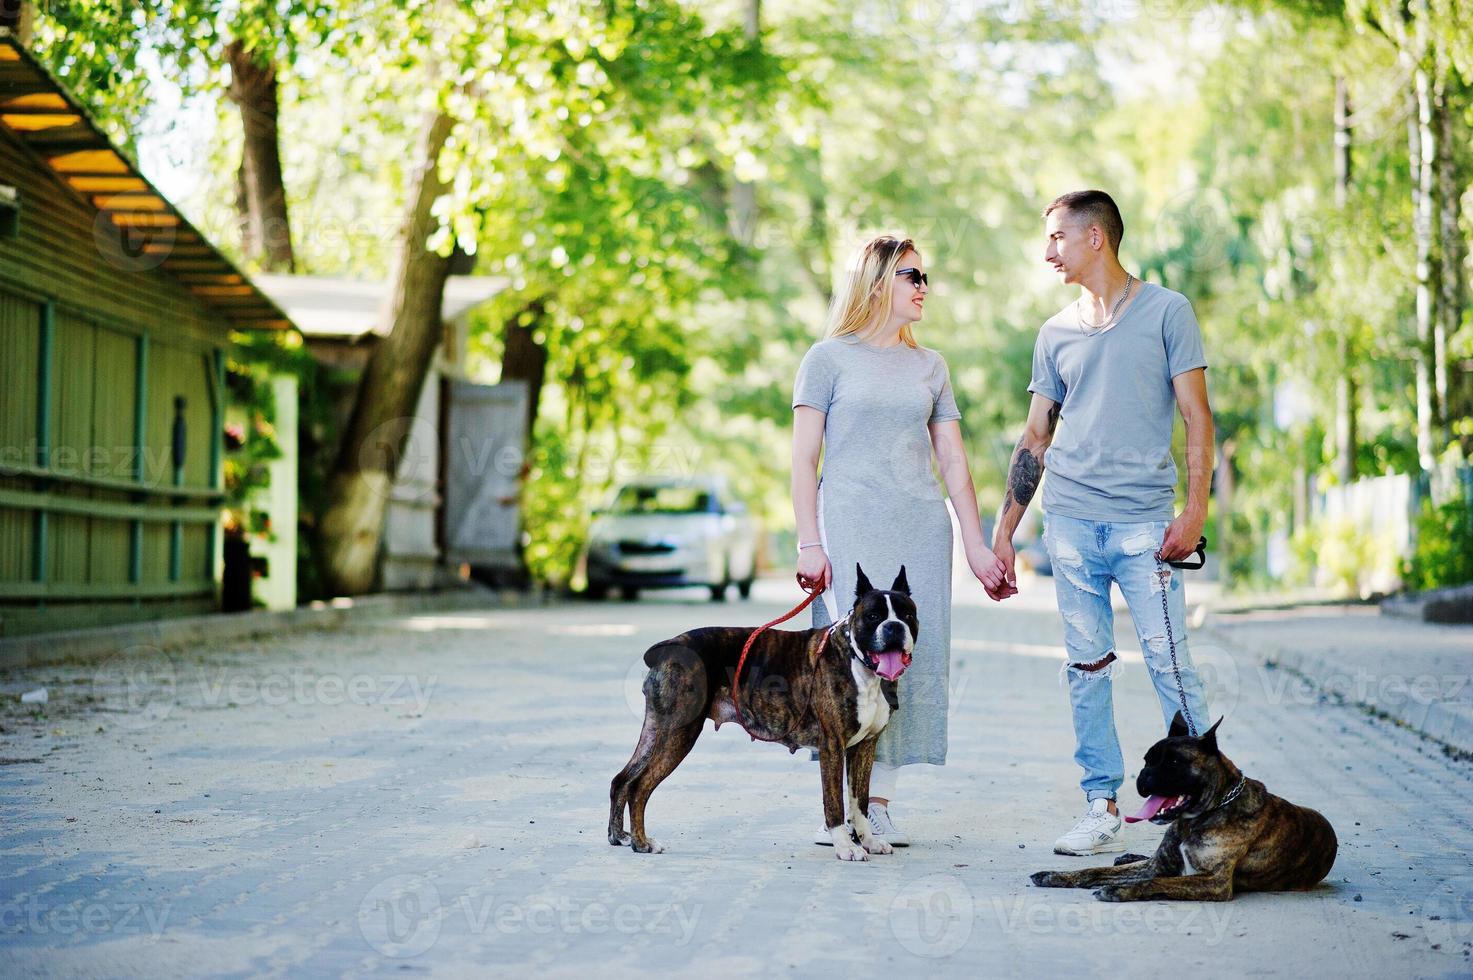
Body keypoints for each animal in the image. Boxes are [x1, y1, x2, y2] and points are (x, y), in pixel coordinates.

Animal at [603, 562, 913, 860]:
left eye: (908, 615)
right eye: (873, 616)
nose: (894, 627)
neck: (857, 661)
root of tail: (671, 646)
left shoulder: (865, 746)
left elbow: (860, 801)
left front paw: (869, 841)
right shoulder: (833, 747)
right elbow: (834, 802)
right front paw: (846, 847)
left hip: (657, 730)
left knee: (622, 779)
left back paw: (620, 837)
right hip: (679, 733)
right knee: (639, 786)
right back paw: (642, 843)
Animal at [1031, 710, 1343, 901]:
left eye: (1173, 762)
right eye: (1147, 759)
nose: (1144, 776)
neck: (1200, 816)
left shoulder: (1212, 882)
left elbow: (1154, 883)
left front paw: (1118, 891)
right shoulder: (1157, 866)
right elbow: (1093, 871)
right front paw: (1055, 875)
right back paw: (1126, 856)